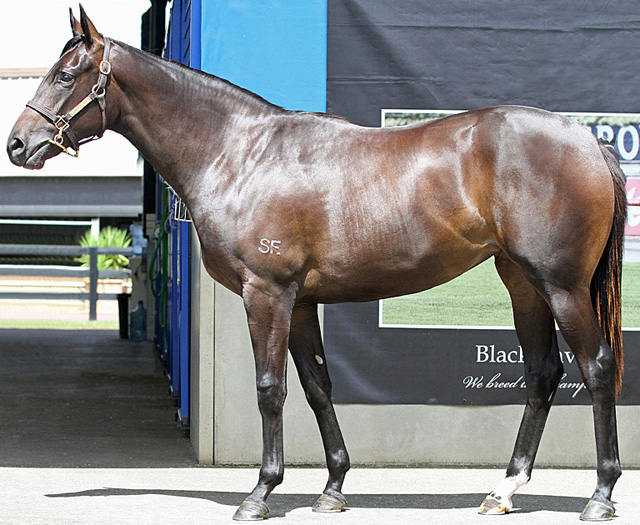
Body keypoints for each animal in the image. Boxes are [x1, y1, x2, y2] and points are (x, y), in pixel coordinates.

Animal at [6, 7, 624, 520]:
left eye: (65, 76)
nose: (17, 144)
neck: (240, 154)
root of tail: (589, 142)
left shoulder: (268, 295)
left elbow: (270, 389)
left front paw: (260, 492)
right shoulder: (301, 303)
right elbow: (318, 387)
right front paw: (332, 489)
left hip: (562, 287)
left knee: (597, 368)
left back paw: (600, 495)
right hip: (523, 285)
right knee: (543, 373)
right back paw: (503, 490)